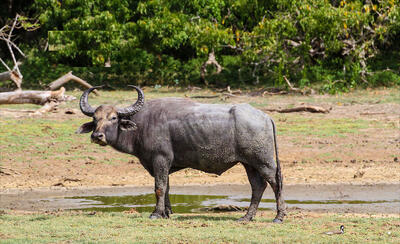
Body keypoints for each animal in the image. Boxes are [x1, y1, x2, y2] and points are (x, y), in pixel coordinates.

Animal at [76, 86, 286, 223]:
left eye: (113, 118)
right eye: (95, 119)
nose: (97, 136)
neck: (142, 125)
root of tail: (265, 116)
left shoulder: (160, 159)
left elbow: (159, 187)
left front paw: (156, 214)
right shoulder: (163, 165)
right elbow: (167, 187)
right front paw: (167, 213)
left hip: (264, 162)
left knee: (276, 183)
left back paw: (279, 216)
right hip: (249, 163)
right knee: (258, 186)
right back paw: (246, 217)